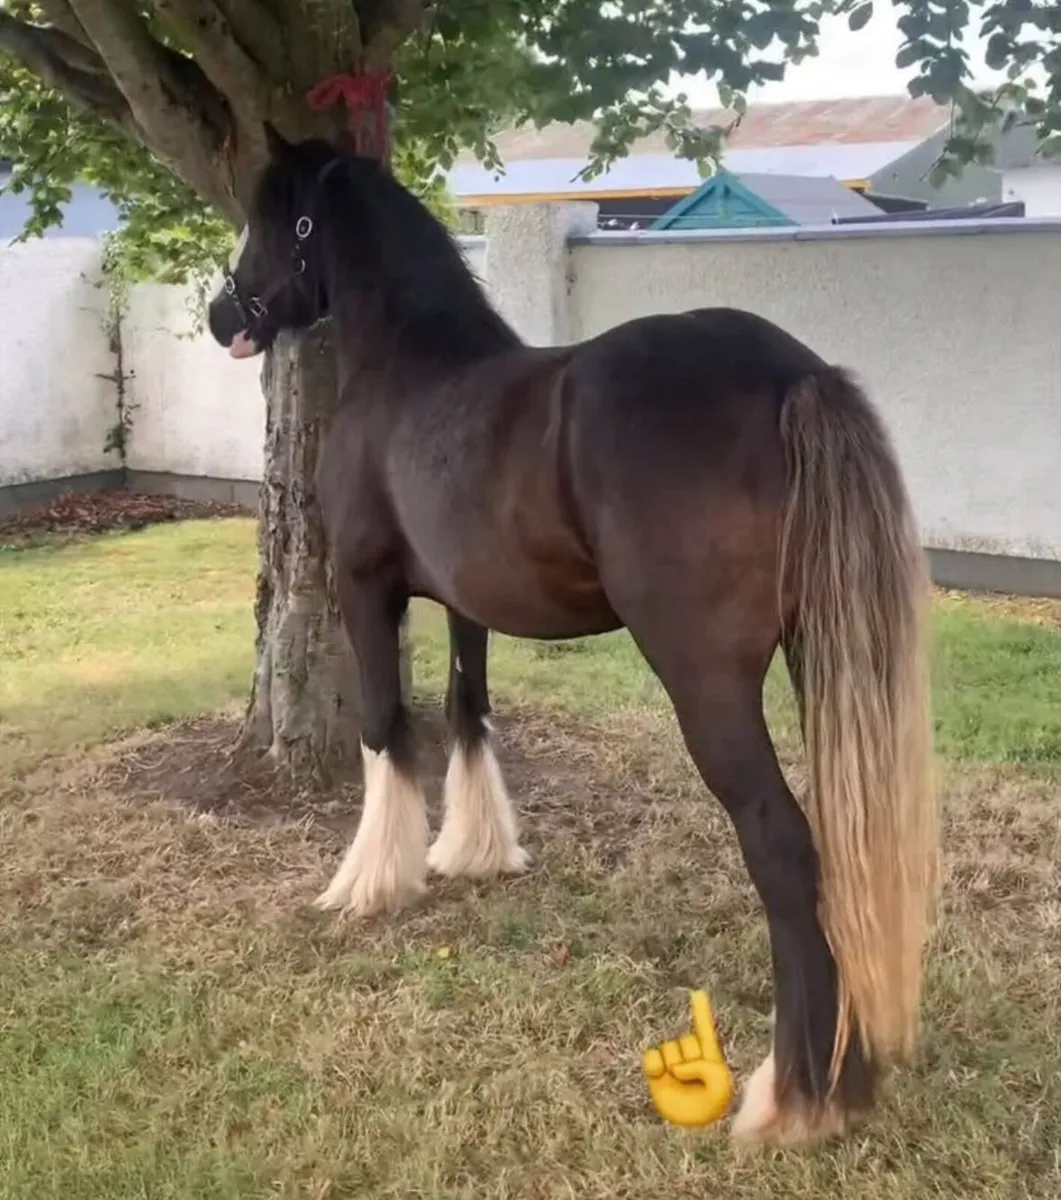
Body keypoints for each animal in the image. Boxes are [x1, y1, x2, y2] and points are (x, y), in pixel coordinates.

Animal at [207, 123, 939, 1149]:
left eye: (270, 217)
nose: (219, 316)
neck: (408, 365)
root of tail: (792, 375)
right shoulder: (464, 602)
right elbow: (467, 710)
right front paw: (473, 852)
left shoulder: (366, 588)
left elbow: (387, 728)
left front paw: (371, 882)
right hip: (821, 661)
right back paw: (846, 1076)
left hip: (706, 681)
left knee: (783, 844)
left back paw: (790, 1097)